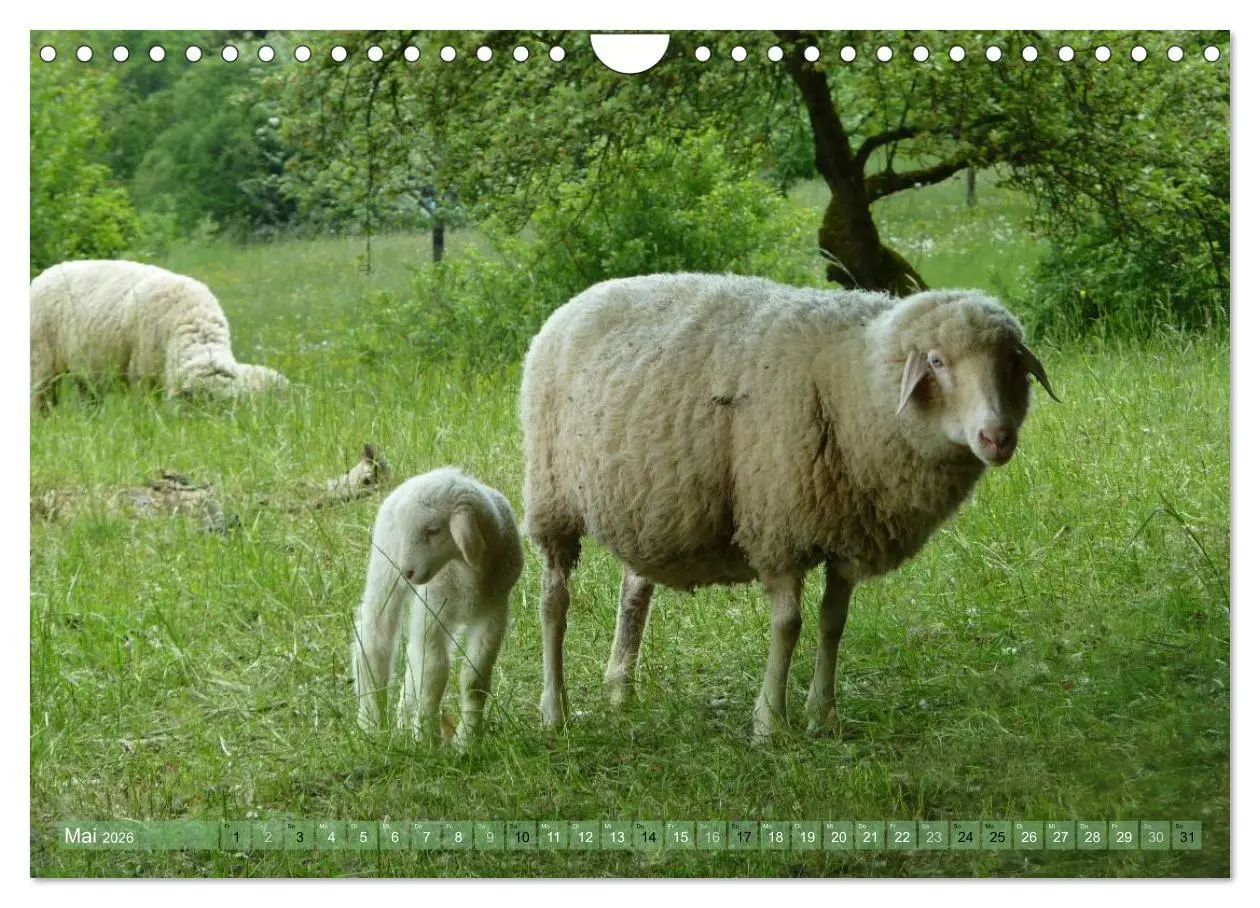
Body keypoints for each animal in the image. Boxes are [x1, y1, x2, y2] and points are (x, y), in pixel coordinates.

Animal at [351, 467, 524, 748]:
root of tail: (425, 475)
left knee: (413, 656)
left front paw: (467, 741)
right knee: (374, 639)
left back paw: (402, 723)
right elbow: (433, 673)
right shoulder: (432, 608)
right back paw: (370, 724)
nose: (407, 571)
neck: (466, 575)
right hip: (385, 569)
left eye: (433, 530)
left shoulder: (493, 610)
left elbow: (474, 678)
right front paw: (426, 740)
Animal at [519, 272, 1058, 739]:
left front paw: (823, 715)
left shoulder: (847, 534)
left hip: (647, 505)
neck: (854, 382)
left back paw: (620, 691)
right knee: (553, 601)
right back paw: (554, 710)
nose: (996, 437)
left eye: (1011, 362)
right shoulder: (779, 525)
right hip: (552, 495)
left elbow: (833, 623)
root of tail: (581, 298)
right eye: (938, 361)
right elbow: (788, 625)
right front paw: (770, 722)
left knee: (633, 592)